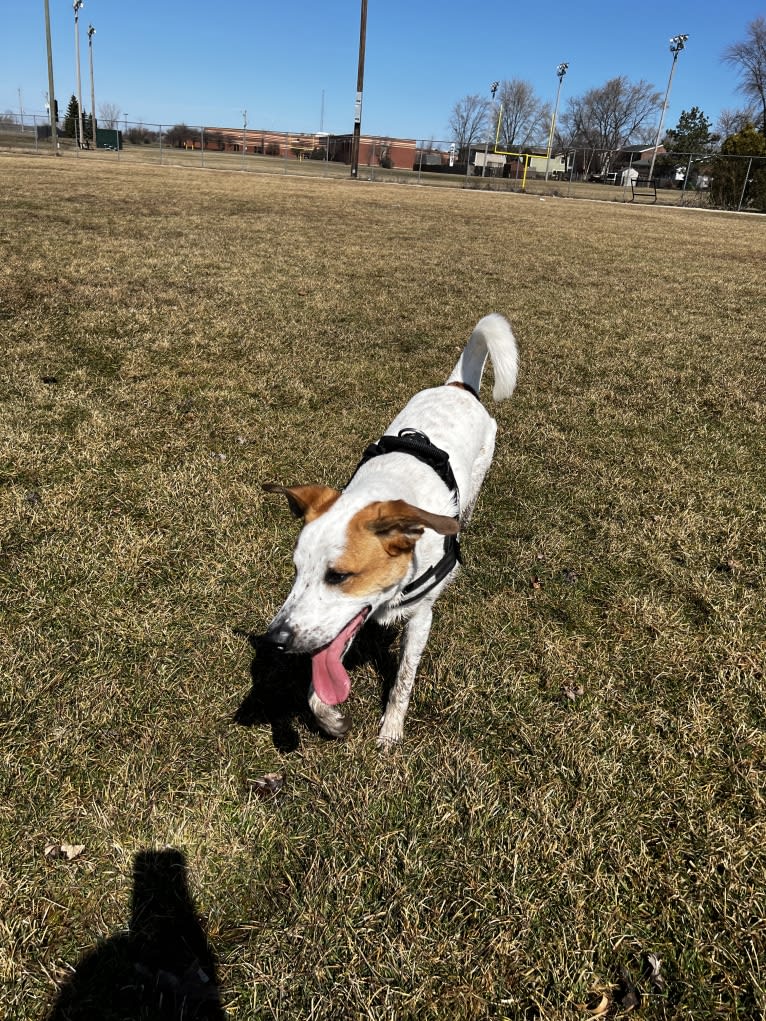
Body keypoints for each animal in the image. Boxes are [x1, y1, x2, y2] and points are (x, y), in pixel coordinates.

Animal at [263, 314, 522, 747]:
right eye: (297, 571)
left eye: (339, 576)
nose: (276, 641)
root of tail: (457, 386)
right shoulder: (345, 620)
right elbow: (320, 687)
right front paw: (331, 721)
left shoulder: (421, 618)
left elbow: (404, 679)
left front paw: (390, 732)